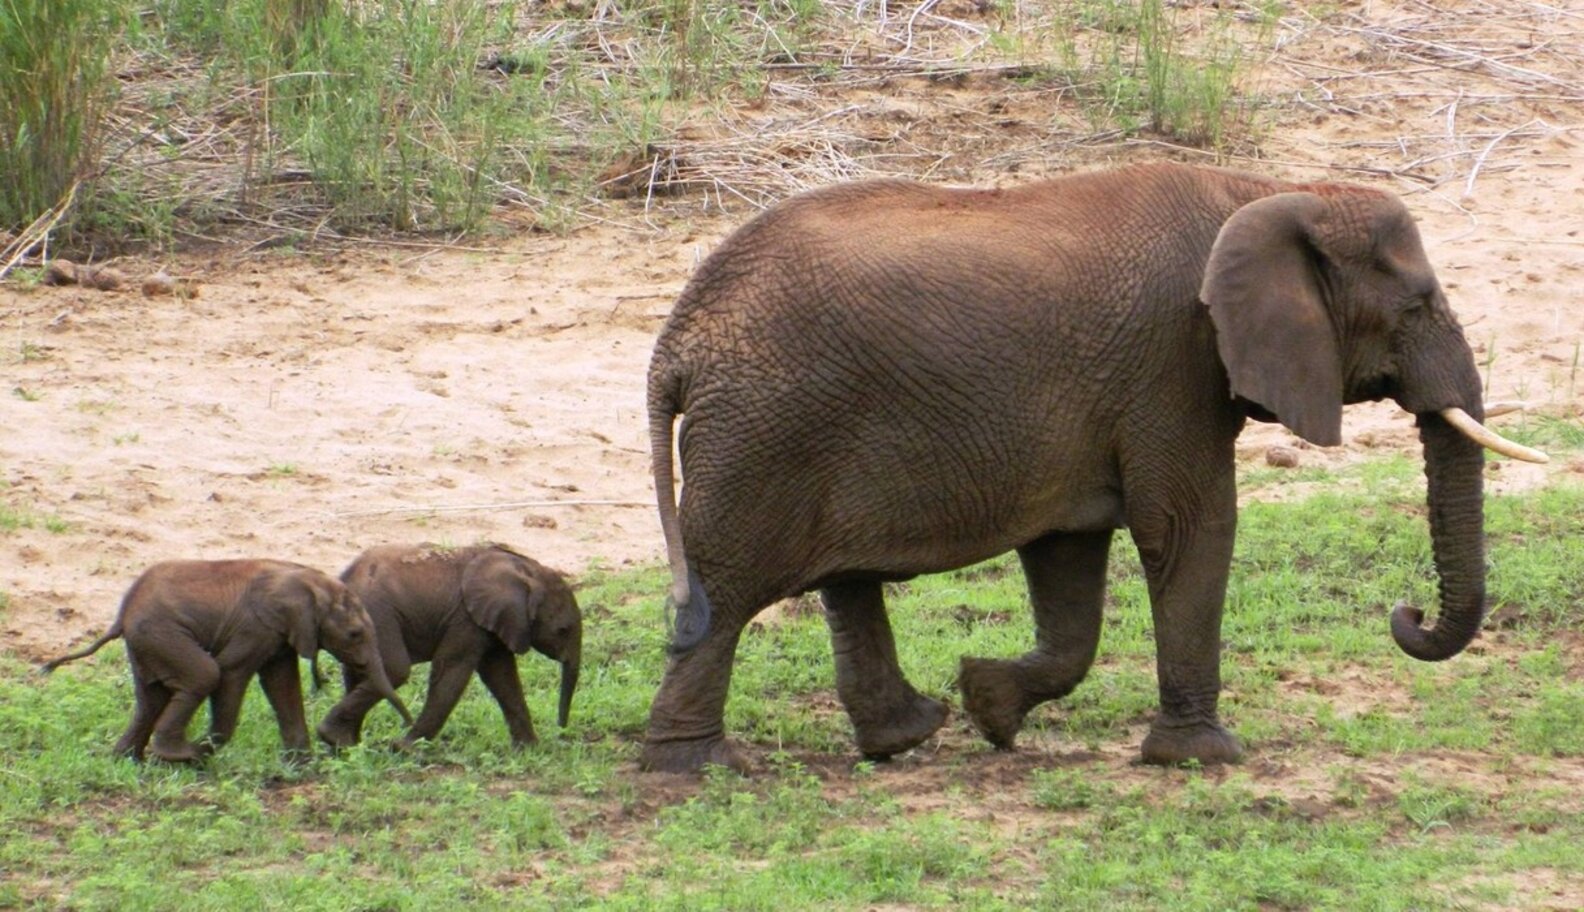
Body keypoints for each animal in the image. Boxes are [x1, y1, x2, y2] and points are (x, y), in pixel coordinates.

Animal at [39, 559, 413, 763]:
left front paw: (302, 765)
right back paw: (179, 755)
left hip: (147, 642)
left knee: (150, 697)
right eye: (354, 634)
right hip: (162, 632)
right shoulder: (257, 625)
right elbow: (232, 672)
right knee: (205, 674)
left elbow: (282, 683)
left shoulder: (279, 632)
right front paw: (206, 750)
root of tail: (122, 614)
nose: (405, 731)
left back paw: (128, 761)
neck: (311, 581)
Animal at [315, 543, 582, 750]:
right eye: (563, 630)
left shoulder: (494, 620)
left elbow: (502, 676)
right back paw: (335, 738)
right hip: (376, 612)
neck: (525, 569)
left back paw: (345, 745)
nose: (562, 732)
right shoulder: (465, 618)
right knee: (395, 671)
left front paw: (529, 750)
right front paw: (405, 749)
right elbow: (452, 671)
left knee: (361, 670)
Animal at [640, 162, 1548, 774]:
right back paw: (698, 769)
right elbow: (1190, 527)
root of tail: (676, 341)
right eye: (1418, 305)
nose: (1406, 613)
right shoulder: (1173, 360)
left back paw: (909, 735)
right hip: (766, 434)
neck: (1268, 189)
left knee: (842, 580)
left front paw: (990, 705)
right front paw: (1205, 758)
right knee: (728, 590)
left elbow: (1068, 554)